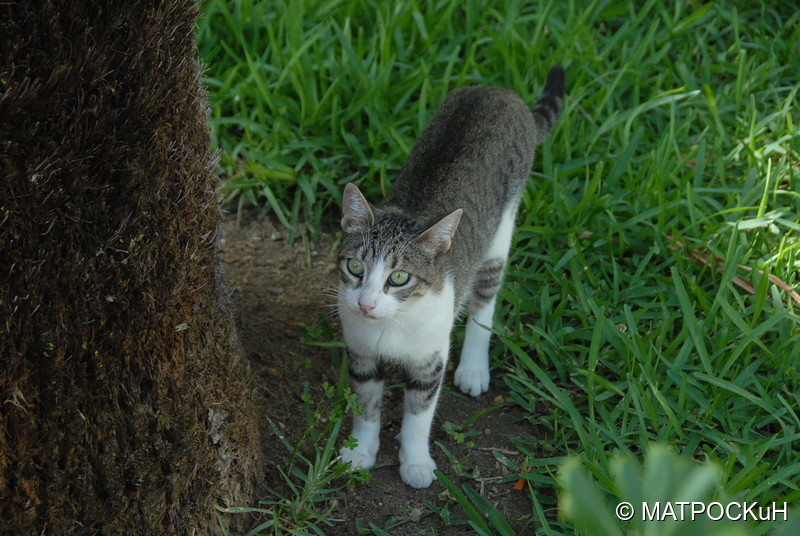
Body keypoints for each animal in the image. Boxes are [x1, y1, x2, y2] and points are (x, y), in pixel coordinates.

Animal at [334, 65, 564, 488]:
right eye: (355, 267)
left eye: (400, 278)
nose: (366, 304)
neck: (390, 325)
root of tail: (500, 92)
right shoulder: (360, 352)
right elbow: (366, 403)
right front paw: (361, 450)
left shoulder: (431, 358)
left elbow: (419, 413)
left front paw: (415, 462)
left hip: (499, 235)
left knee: (485, 301)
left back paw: (474, 366)